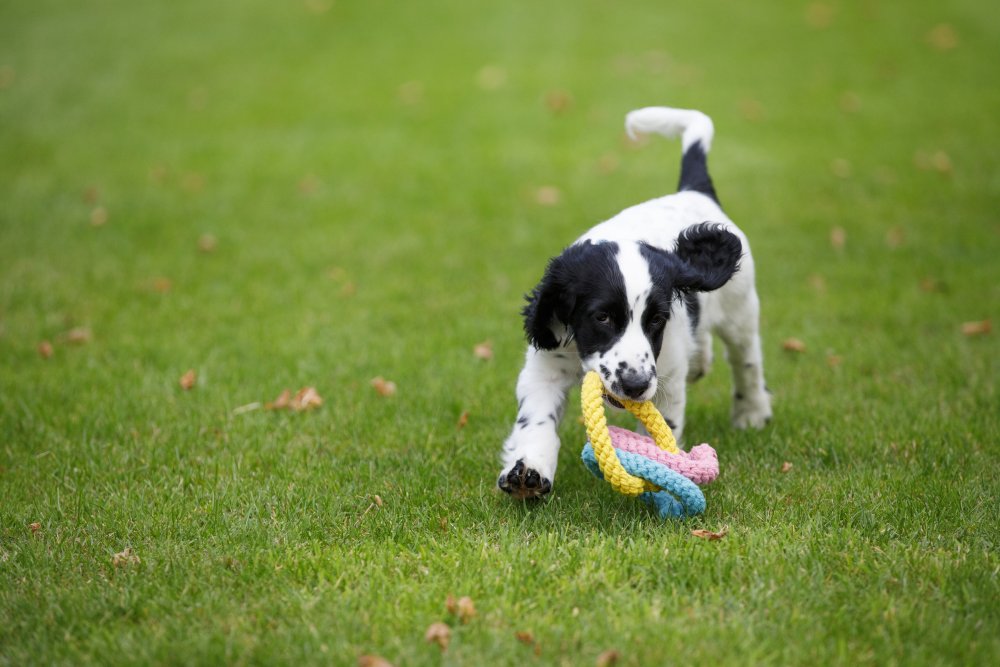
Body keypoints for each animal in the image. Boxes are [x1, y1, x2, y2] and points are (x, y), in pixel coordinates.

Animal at [500, 107, 772, 498]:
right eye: (601, 317)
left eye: (656, 319)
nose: (635, 385)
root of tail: (695, 191)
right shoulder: (546, 365)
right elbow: (536, 421)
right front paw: (528, 471)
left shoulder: (666, 378)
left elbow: (665, 428)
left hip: (740, 309)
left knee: (746, 360)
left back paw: (751, 412)